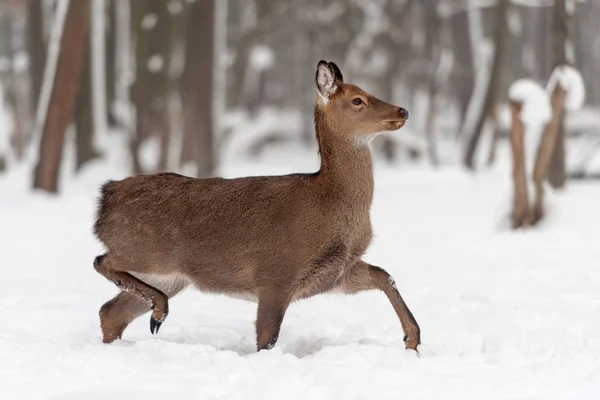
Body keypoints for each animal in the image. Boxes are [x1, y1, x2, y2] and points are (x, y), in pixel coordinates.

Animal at [94, 59, 422, 350]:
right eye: (357, 100)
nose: (403, 110)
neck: (328, 204)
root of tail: (105, 200)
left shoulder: (337, 273)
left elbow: (385, 275)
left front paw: (412, 338)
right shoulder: (277, 274)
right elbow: (268, 339)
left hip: (170, 276)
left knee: (110, 312)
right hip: (145, 250)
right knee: (102, 263)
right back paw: (159, 311)